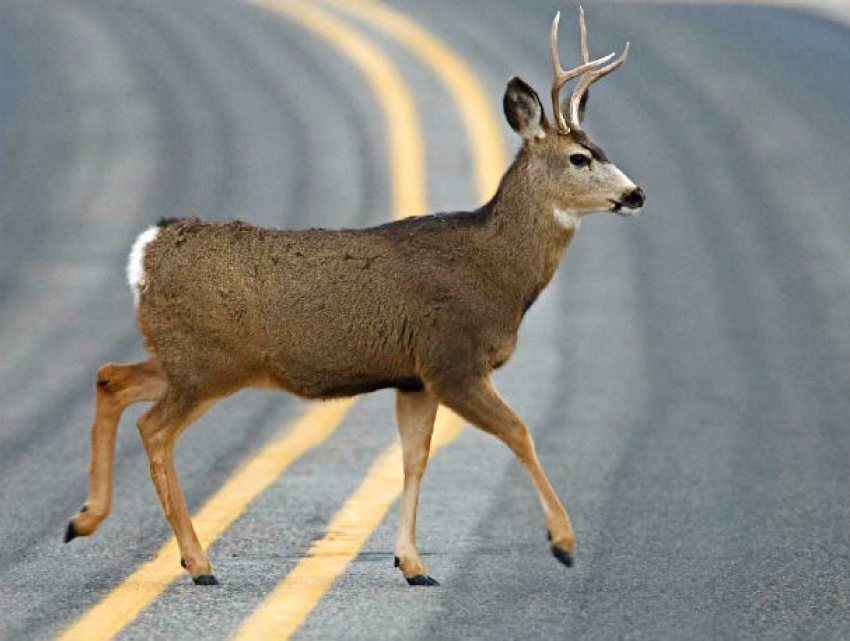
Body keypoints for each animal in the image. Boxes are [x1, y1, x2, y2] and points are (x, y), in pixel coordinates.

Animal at [64, 9, 644, 587]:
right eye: (580, 158)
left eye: (601, 152)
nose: (636, 194)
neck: (498, 272)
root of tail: (146, 251)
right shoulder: (451, 360)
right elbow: (519, 433)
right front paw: (563, 542)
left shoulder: (414, 378)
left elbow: (414, 459)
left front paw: (412, 564)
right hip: (207, 364)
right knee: (154, 428)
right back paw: (197, 561)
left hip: (185, 357)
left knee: (111, 378)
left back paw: (85, 520)